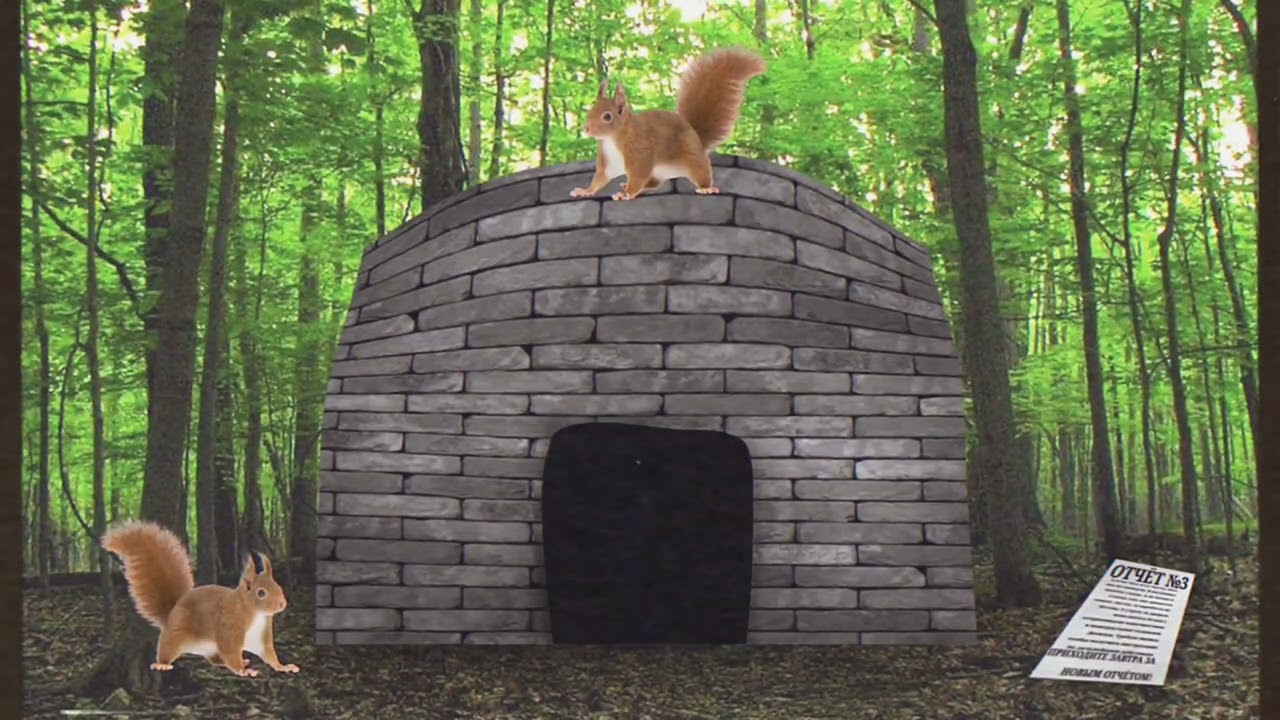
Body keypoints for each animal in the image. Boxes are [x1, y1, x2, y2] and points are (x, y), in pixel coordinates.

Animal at [101, 521, 300, 678]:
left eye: (279, 587)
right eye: (261, 593)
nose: (282, 604)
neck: (252, 612)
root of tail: (172, 611)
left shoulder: (261, 635)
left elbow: (268, 654)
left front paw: (283, 667)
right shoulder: (229, 627)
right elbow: (230, 651)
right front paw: (243, 670)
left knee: (216, 660)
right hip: (175, 635)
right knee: (168, 648)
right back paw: (162, 664)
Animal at [571, 47, 766, 201]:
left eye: (607, 117)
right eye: (590, 109)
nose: (586, 129)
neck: (613, 138)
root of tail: (697, 137)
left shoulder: (639, 150)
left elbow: (638, 175)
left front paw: (626, 194)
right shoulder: (609, 160)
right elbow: (601, 178)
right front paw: (586, 191)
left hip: (693, 158)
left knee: (701, 172)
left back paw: (706, 188)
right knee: (653, 183)